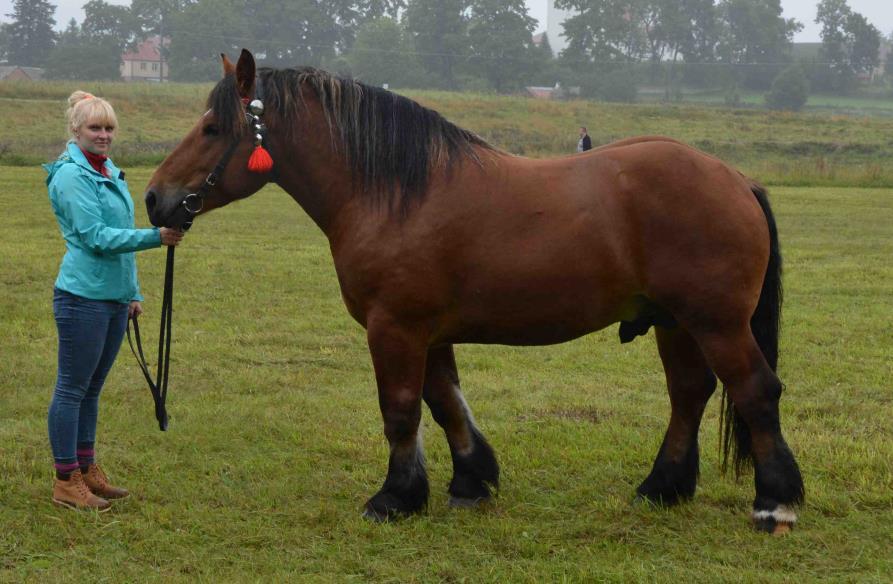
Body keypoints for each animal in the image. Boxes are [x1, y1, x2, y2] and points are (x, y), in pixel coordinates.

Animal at [145, 50, 800, 532]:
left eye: (212, 128)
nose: (154, 198)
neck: (394, 194)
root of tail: (736, 179)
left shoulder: (395, 327)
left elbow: (401, 409)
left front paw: (394, 497)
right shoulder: (428, 333)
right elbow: (445, 402)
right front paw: (470, 481)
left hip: (716, 323)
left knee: (755, 391)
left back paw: (774, 503)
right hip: (675, 323)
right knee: (689, 395)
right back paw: (661, 489)